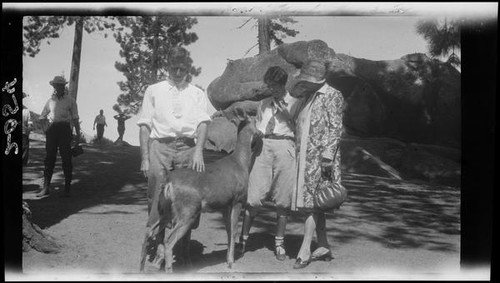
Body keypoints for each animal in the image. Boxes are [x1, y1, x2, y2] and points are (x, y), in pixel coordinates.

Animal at [139, 107, 264, 272]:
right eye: (255, 120)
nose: (262, 132)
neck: (241, 163)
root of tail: (168, 183)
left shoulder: (224, 206)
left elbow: (228, 231)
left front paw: (227, 259)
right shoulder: (237, 199)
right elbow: (234, 231)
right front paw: (231, 262)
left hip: (163, 208)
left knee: (148, 231)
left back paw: (142, 267)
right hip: (188, 209)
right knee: (168, 240)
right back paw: (169, 269)